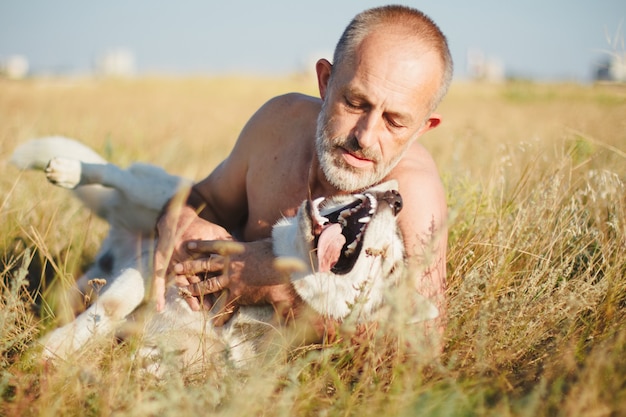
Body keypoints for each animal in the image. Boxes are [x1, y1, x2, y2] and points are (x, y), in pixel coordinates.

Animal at [11, 135, 438, 368]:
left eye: (386, 262)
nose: (397, 198)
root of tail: (120, 227)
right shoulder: (160, 262)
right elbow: (113, 307)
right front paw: (55, 348)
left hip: (90, 275)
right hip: (157, 197)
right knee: (116, 173)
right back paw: (67, 169)